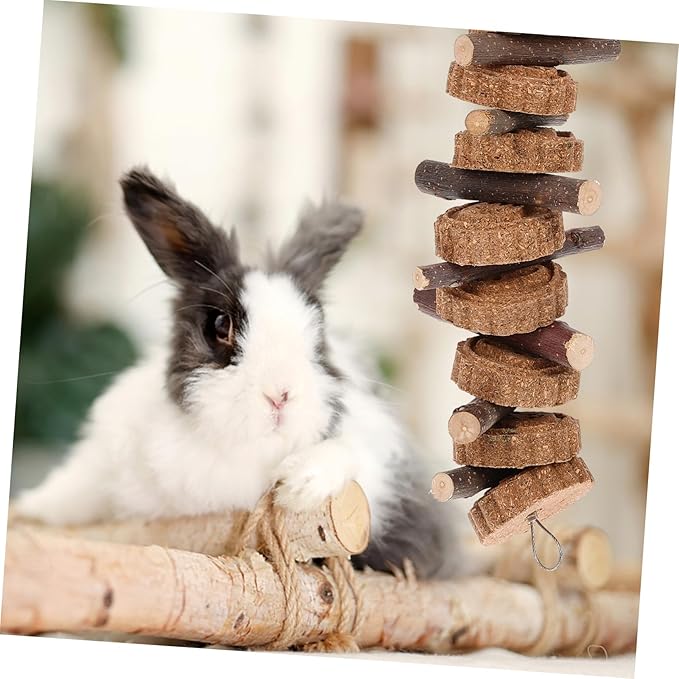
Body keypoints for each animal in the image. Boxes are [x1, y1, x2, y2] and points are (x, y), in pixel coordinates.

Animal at [13, 167, 460, 578]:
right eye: (219, 326)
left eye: (318, 331)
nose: (280, 395)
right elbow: (75, 486)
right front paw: (30, 510)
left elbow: (348, 452)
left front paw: (300, 486)